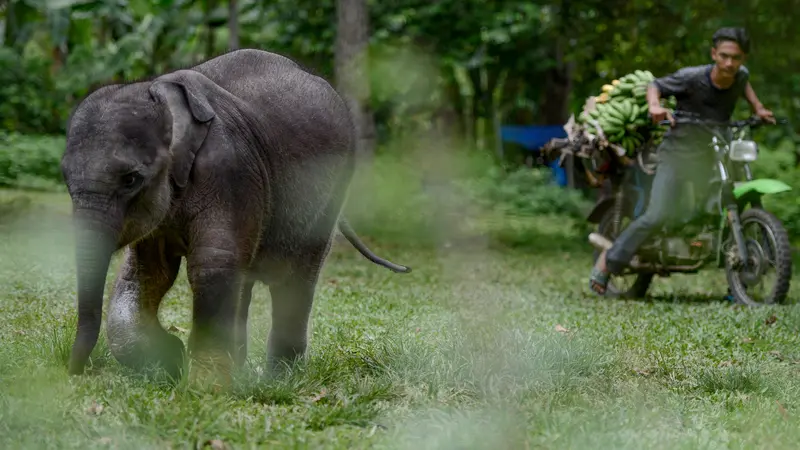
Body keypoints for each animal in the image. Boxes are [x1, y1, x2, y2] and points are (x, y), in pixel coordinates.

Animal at [61, 48, 410, 384]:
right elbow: (149, 271)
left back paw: (278, 380)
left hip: (333, 190)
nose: (74, 372)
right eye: (64, 177)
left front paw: (203, 389)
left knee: (295, 278)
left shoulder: (230, 171)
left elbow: (212, 265)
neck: (159, 89)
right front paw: (170, 361)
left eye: (131, 179)